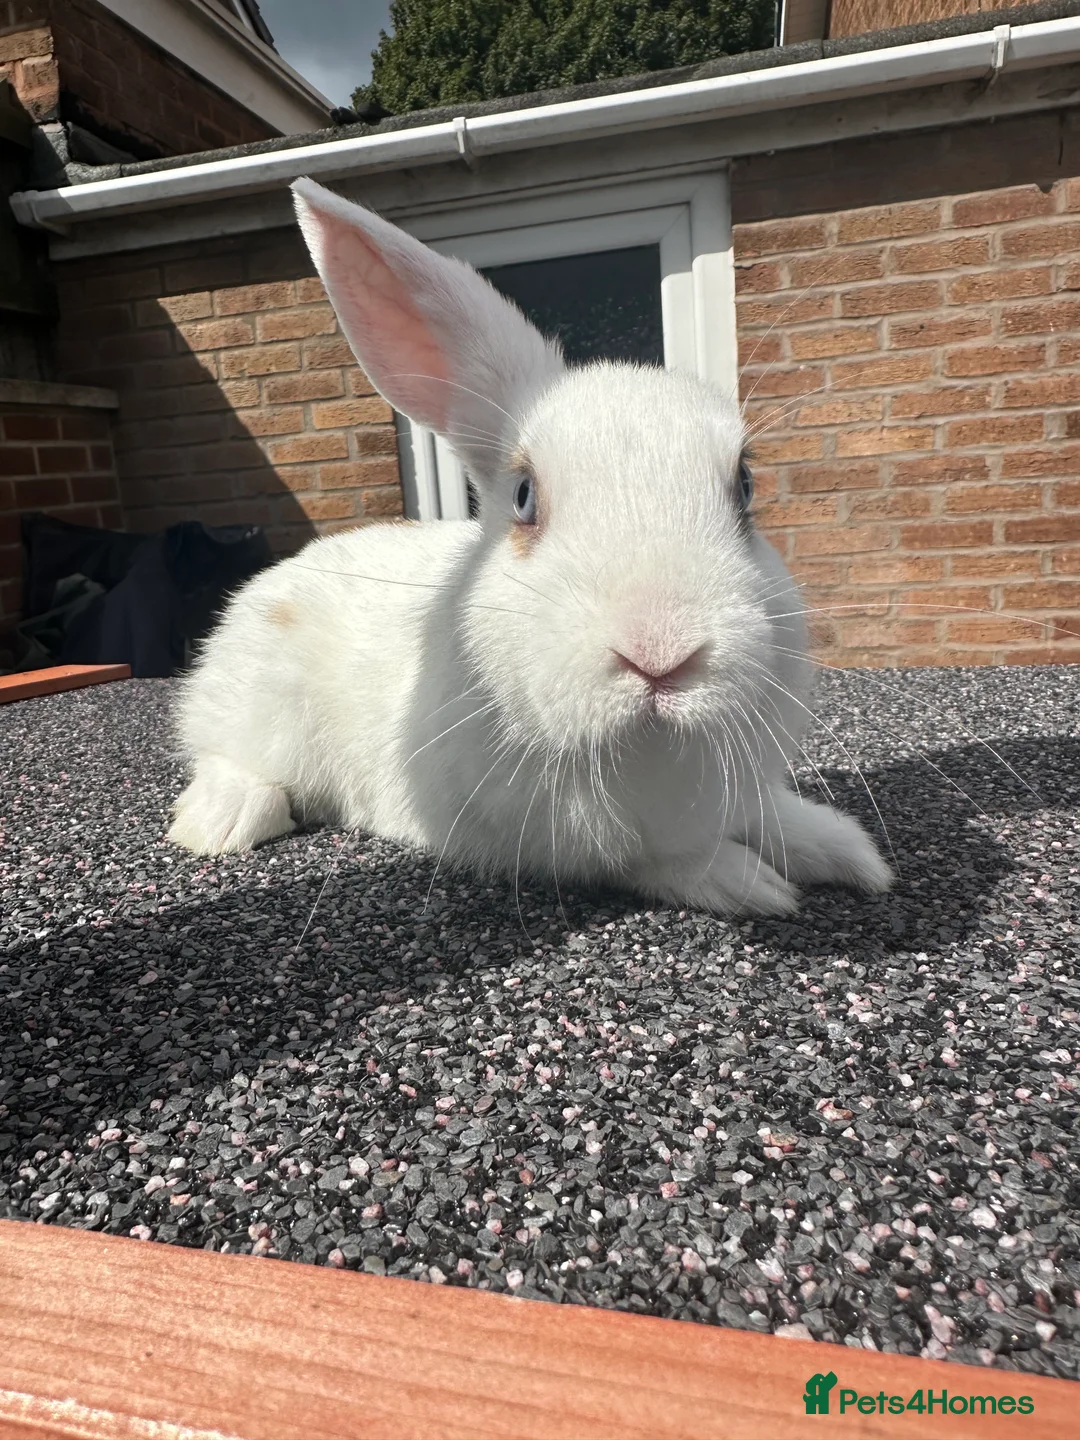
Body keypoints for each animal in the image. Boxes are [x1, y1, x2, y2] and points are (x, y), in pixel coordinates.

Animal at [167, 176, 893, 918]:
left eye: (744, 486)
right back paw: (221, 821)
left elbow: (770, 816)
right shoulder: (545, 836)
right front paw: (748, 883)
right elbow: (653, 858)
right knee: (227, 759)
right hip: (256, 711)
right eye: (523, 498)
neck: (645, 750)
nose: (660, 654)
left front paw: (848, 851)